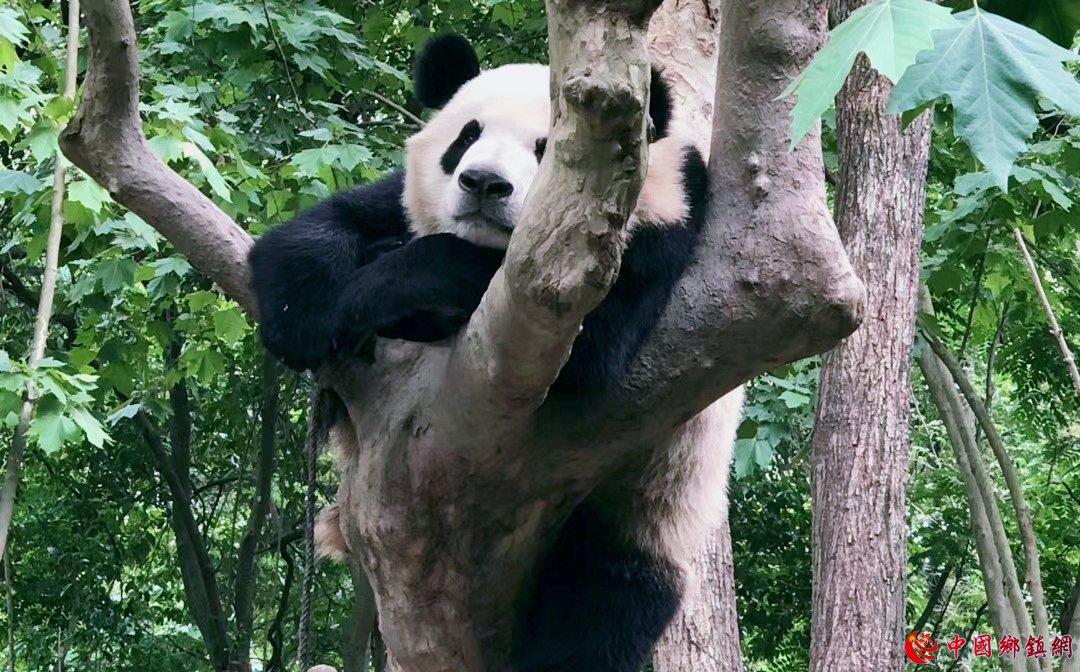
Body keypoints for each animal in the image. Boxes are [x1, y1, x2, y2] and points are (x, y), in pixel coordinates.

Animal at [249, 34, 747, 672]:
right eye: (467, 136)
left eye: (547, 149)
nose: (484, 183)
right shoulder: (397, 200)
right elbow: (307, 240)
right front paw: (316, 308)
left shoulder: (665, 227)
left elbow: (591, 348)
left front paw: (396, 287)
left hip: (643, 512)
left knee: (601, 604)